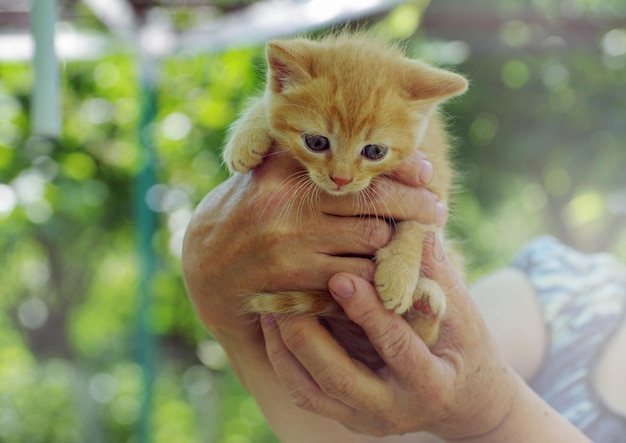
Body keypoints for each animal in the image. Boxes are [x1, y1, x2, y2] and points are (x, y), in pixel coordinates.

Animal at [221, 33, 464, 346]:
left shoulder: (433, 186)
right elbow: (267, 104)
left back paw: (424, 303)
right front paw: (247, 136)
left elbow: (417, 225)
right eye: (316, 142)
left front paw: (399, 274)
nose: (340, 179)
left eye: (374, 151)